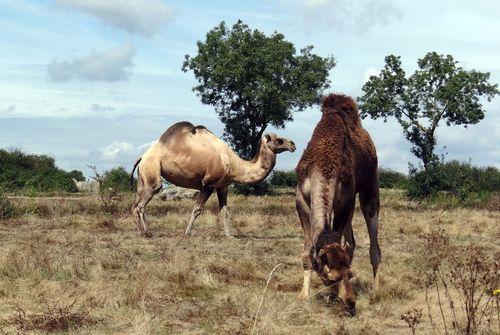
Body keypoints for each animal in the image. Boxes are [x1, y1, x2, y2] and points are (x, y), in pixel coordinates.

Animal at [132, 122, 296, 238]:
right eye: (279, 140)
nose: (293, 144)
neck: (234, 164)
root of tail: (143, 156)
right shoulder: (208, 184)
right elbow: (197, 209)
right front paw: (187, 233)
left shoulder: (223, 186)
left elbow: (224, 211)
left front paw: (229, 235)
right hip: (152, 169)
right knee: (142, 203)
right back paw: (148, 233)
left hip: (143, 177)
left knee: (134, 205)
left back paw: (140, 232)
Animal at [294, 92, 380, 316]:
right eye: (330, 278)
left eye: (349, 273)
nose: (351, 303)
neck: (324, 168)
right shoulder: (301, 200)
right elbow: (308, 251)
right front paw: (304, 295)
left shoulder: (345, 201)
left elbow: (341, 242)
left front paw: (330, 298)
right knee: (351, 242)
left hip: (370, 187)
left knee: (372, 241)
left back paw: (376, 290)